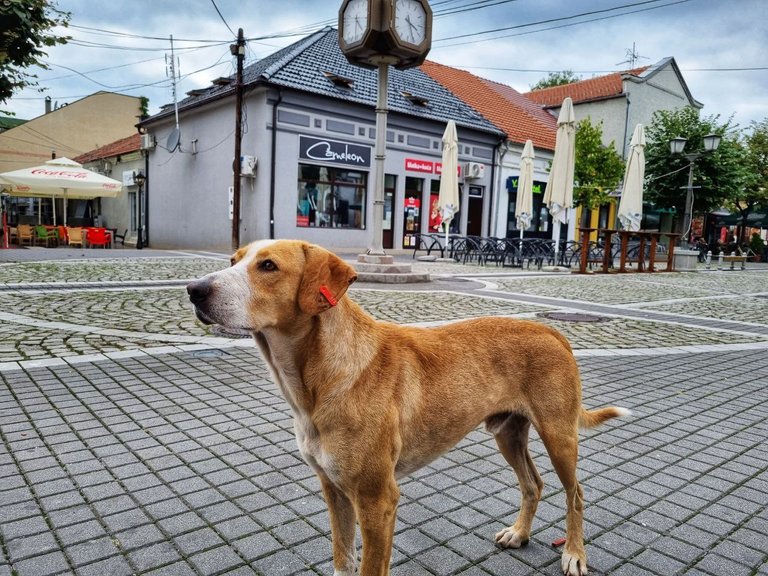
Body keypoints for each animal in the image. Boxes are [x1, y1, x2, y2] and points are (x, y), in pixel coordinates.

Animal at [188, 240, 632, 576]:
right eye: (232, 260)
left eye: (268, 265)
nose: (194, 289)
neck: (318, 381)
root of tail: (554, 332)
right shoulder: (334, 489)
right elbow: (342, 560)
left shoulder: (378, 499)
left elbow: (370, 568)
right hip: (508, 434)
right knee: (532, 484)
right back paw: (519, 534)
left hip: (559, 435)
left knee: (576, 493)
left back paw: (574, 554)